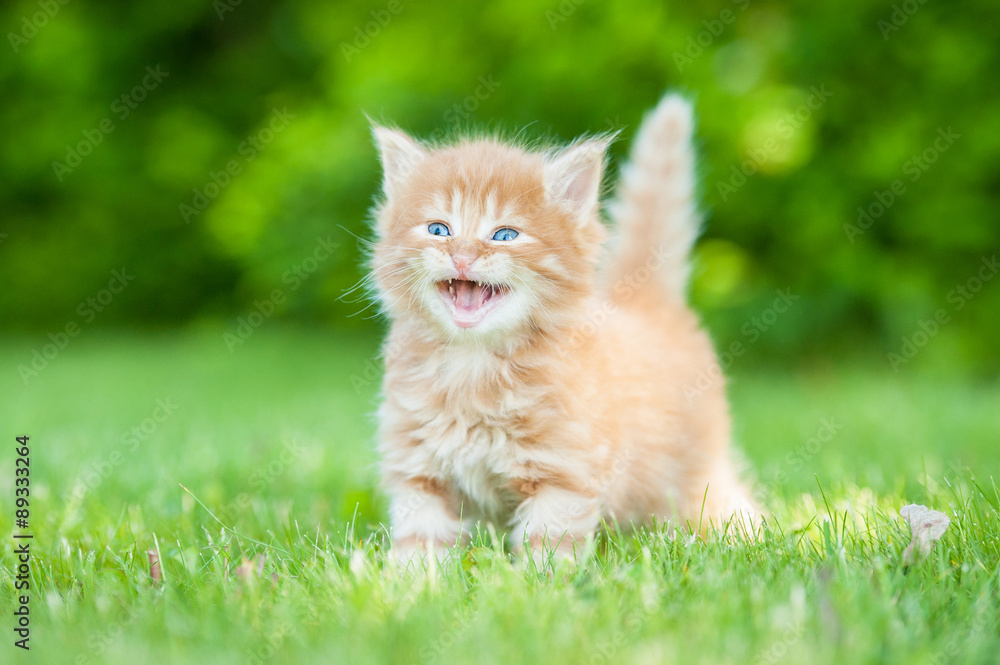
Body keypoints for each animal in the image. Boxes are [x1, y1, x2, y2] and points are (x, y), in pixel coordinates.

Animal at [366, 93, 752, 560]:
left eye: (505, 235)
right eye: (439, 229)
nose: (462, 256)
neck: (473, 364)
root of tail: (648, 302)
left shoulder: (563, 473)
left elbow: (548, 542)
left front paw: (539, 579)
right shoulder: (420, 469)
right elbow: (420, 538)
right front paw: (410, 578)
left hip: (696, 475)